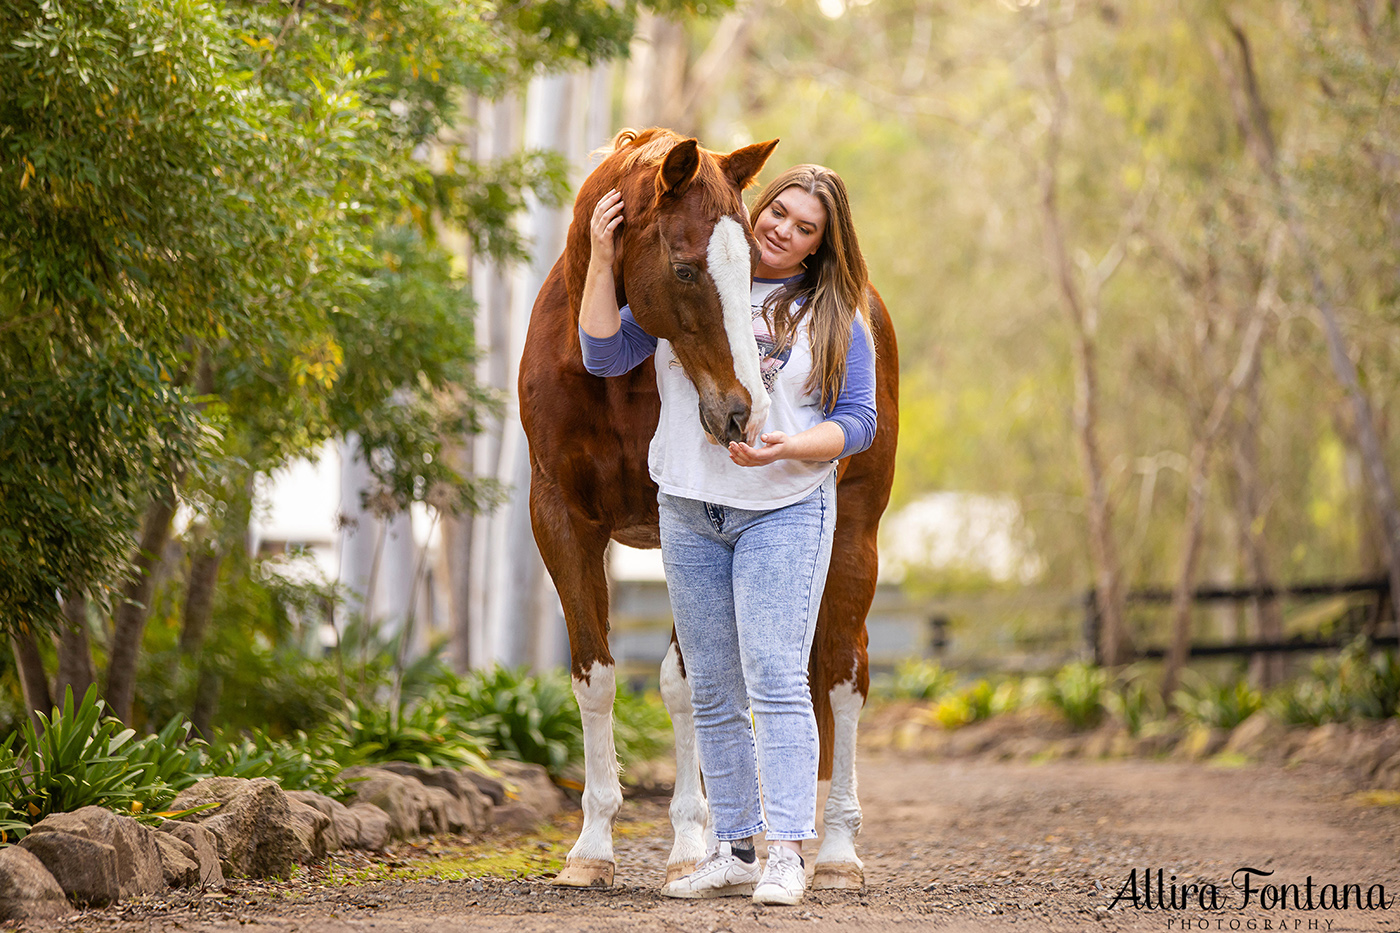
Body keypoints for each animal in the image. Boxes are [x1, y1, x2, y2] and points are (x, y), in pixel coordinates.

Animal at [520, 128, 901, 885]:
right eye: (687, 268)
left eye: (751, 262)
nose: (742, 412)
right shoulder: (560, 518)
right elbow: (594, 677)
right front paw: (592, 846)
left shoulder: (682, 518)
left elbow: (685, 683)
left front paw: (691, 843)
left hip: (855, 541)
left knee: (844, 679)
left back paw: (836, 851)